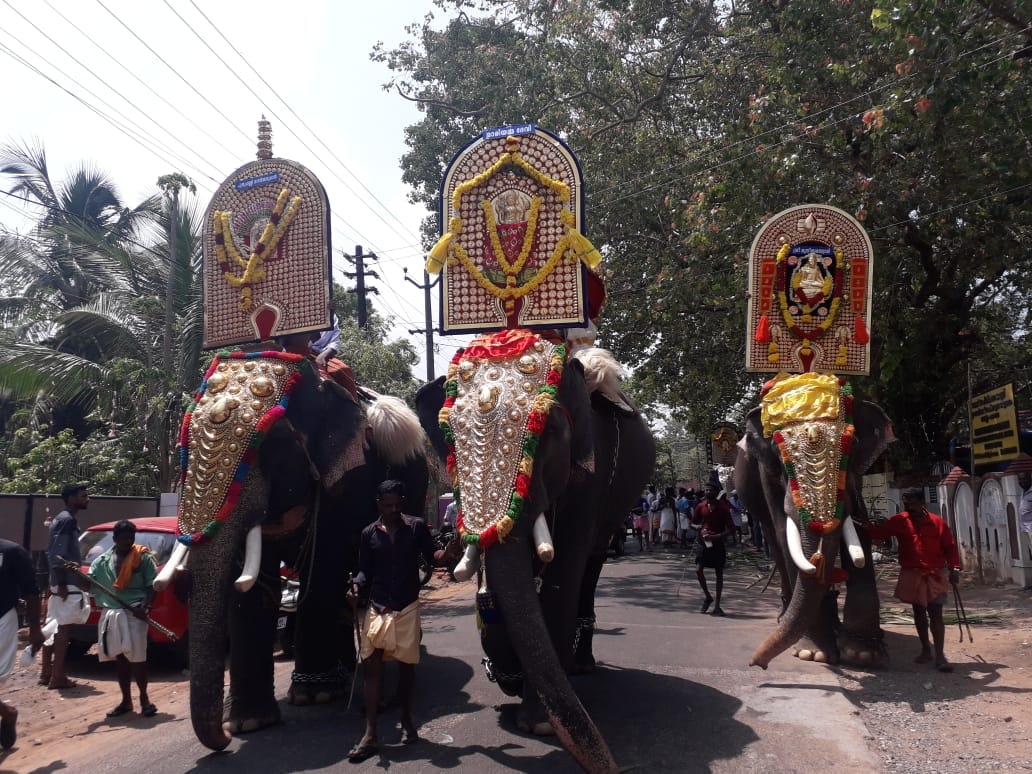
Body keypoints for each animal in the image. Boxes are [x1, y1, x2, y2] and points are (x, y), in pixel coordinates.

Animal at [163, 352, 429, 751]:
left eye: (272, 446)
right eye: (184, 448)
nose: (223, 739)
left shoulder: (349, 479)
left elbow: (323, 568)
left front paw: (311, 697)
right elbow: (250, 584)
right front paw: (247, 722)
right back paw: (343, 675)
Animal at [412, 340, 652, 774]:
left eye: (552, 432)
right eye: (450, 438)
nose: (613, 765)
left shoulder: (591, 471)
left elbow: (562, 573)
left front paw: (538, 724)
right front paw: (513, 678)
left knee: (592, 562)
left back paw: (580, 667)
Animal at [734, 373, 895, 668]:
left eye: (852, 444)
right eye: (778, 449)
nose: (756, 663)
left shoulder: (854, 475)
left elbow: (859, 528)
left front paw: (863, 654)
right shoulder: (767, 473)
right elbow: (785, 535)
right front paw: (813, 653)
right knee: (775, 540)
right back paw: (786, 616)